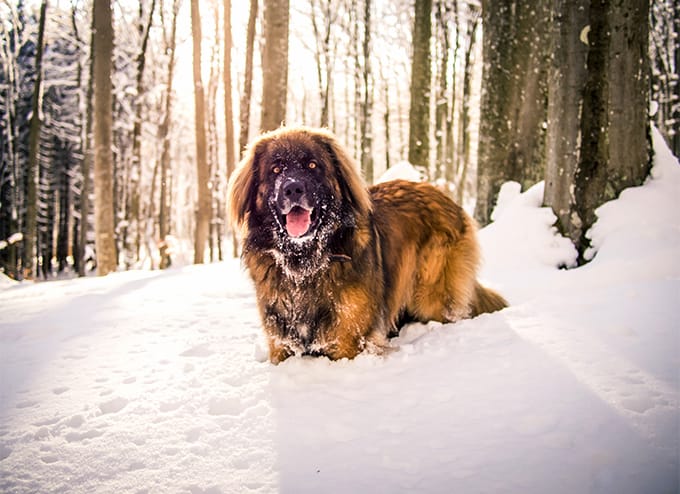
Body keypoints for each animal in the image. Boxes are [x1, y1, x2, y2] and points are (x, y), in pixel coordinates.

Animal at [226, 125, 508, 362]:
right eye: (275, 169)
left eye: (312, 165)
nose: (293, 189)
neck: (306, 263)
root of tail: (446, 197)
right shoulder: (281, 343)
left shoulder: (348, 343)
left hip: (432, 295)